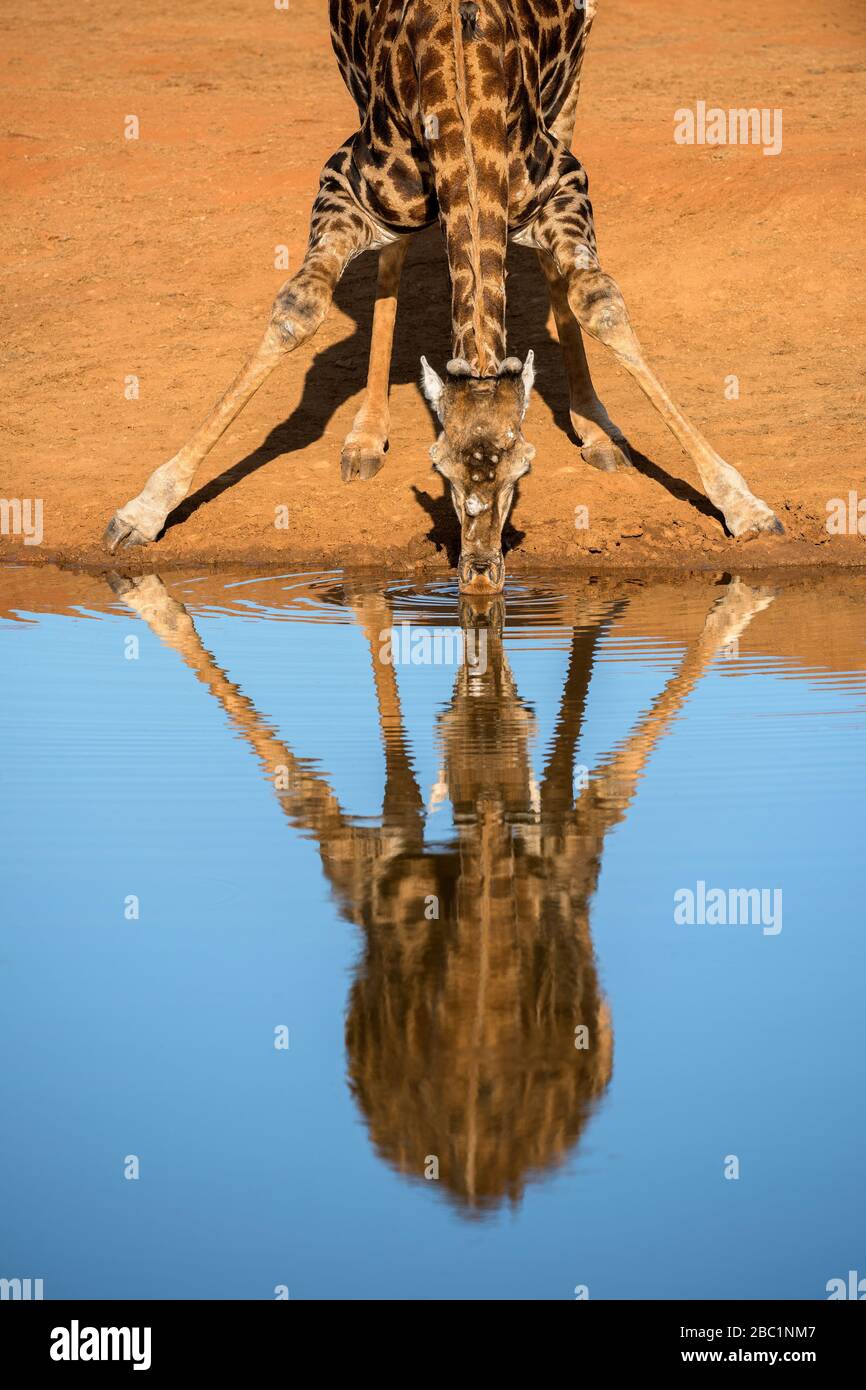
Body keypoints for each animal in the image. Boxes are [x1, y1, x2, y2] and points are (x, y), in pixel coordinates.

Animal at [103, 0, 783, 592]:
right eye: (439, 466)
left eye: (524, 465)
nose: (480, 574)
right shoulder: (344, 180)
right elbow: (299, 308)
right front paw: (142, 510)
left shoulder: (566, 181)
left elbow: (600, 301)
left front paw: (745, 507)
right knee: (395, 255)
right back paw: (365, 437)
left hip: (575, 70)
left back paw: (596, 428)